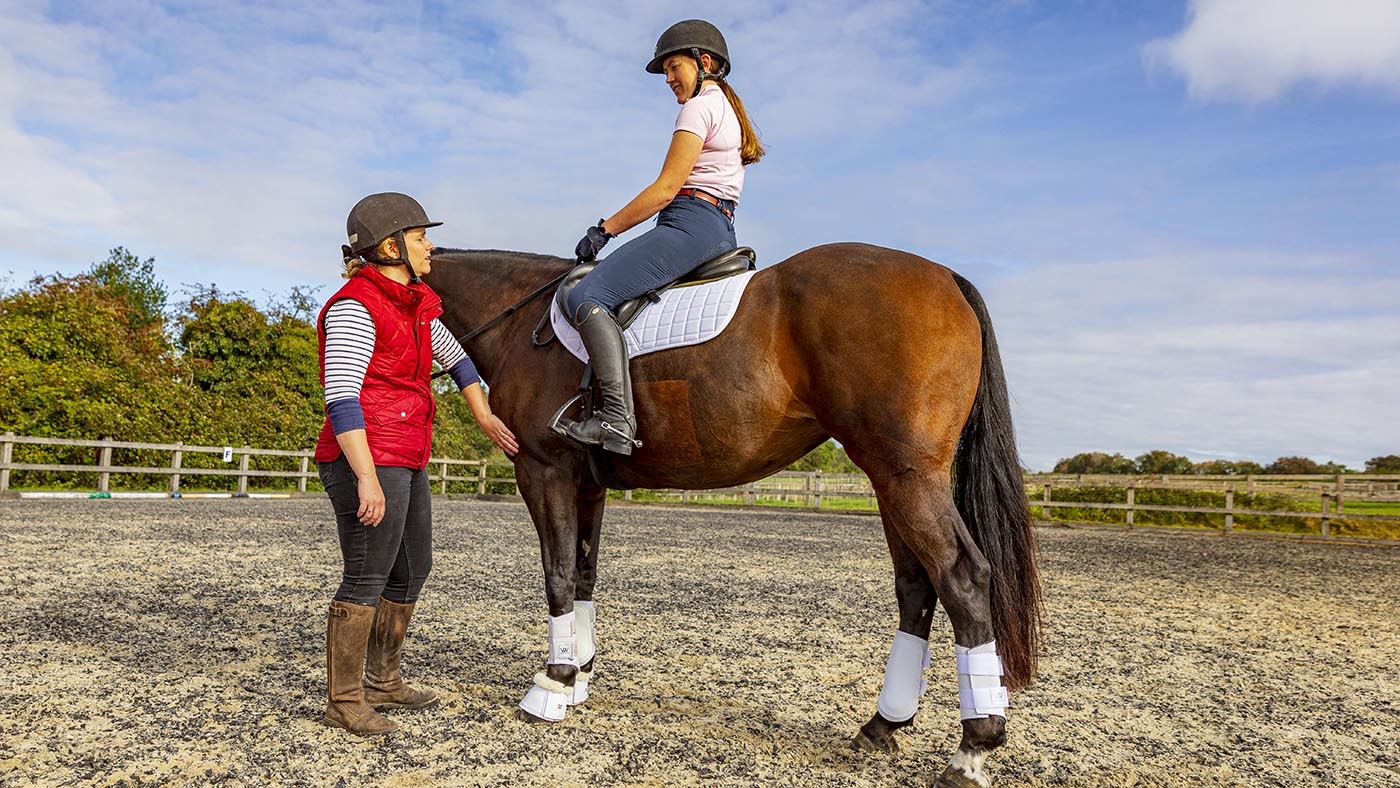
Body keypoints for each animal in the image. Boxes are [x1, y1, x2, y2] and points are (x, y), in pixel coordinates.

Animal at [425, 243, 1042, 788]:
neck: (517, 319)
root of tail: (946, 278)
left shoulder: (543, 469)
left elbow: (556, 573)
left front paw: (552, 686)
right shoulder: (586, 484)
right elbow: (582, 575)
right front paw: (579, 676)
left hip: (907, 475)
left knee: (962, 577)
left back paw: (972, 751)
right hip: (892, 480)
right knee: (917, 586)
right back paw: (883, 725)